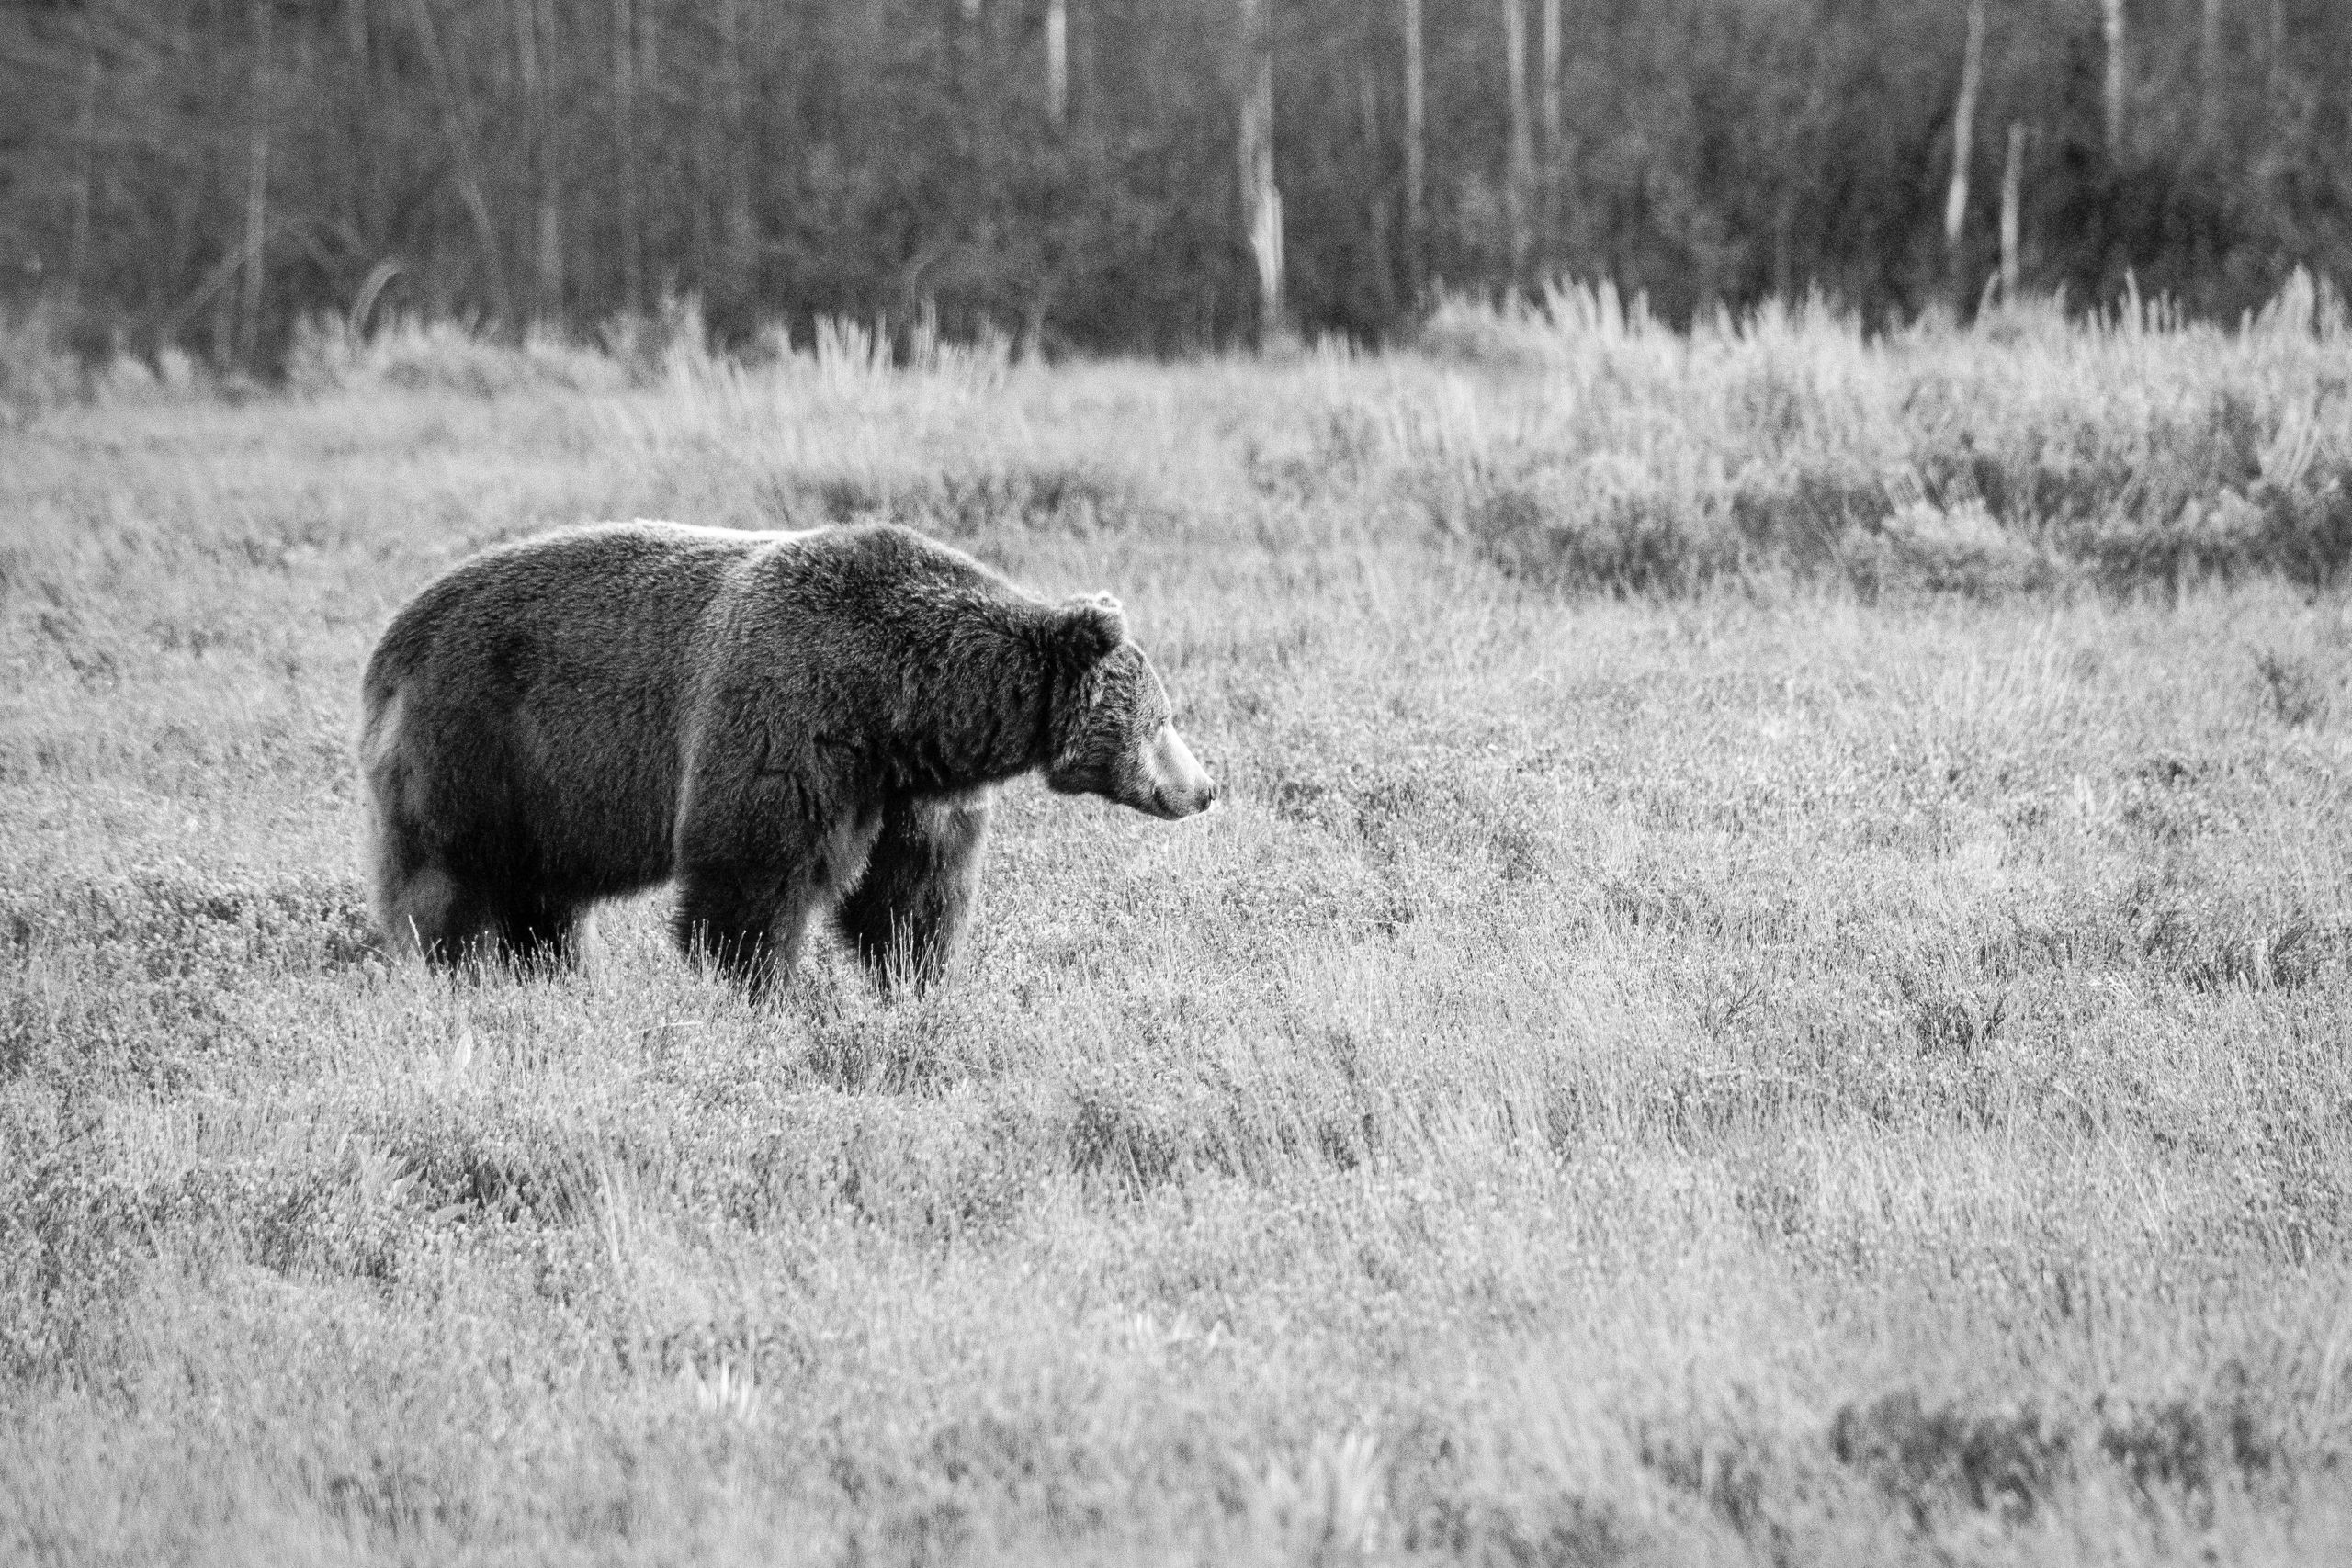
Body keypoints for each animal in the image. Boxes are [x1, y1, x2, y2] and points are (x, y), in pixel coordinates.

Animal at [357, 526, 1223, 991]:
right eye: (1163, 717)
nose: (1206, 787)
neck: (904, 700)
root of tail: (389, 644)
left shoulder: (911, 788)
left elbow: (911, 893)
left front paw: (918, 978)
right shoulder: (789, 722)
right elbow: (753, 879)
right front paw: (767, 987)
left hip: (547, 794)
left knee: (543, 899)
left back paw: (555, 971)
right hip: (478, 744)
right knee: (453, 881)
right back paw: (464, 971)